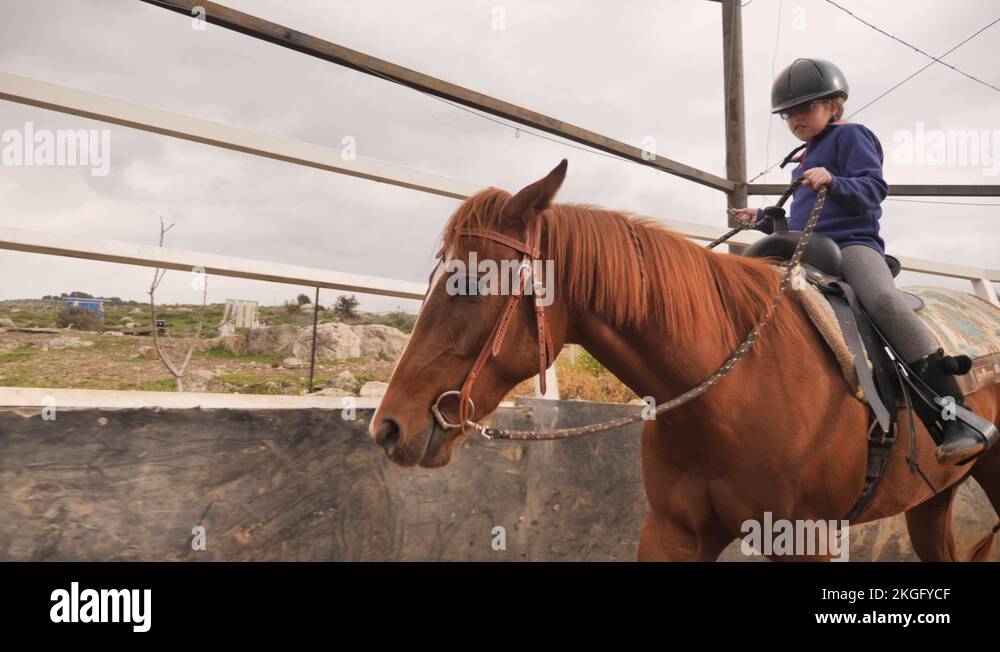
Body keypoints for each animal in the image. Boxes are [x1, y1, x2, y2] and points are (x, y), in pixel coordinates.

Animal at [369, 159, 1000, 561]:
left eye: (473, 282)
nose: (389, 426)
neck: (732, 386)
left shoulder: (806, 540)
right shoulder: (674, 533)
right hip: (931, 500)